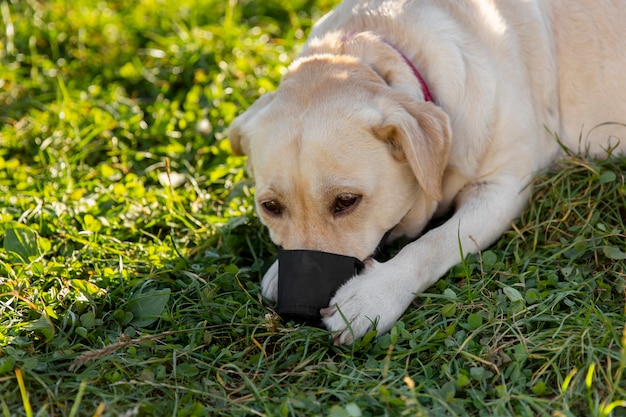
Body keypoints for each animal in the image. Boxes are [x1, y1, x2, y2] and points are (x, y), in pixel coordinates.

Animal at [228, 0, 624, 344]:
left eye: (346, 201)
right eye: (270, 207)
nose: (299, 311)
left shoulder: (501, 189)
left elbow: (434, 243)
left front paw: (374, 295)